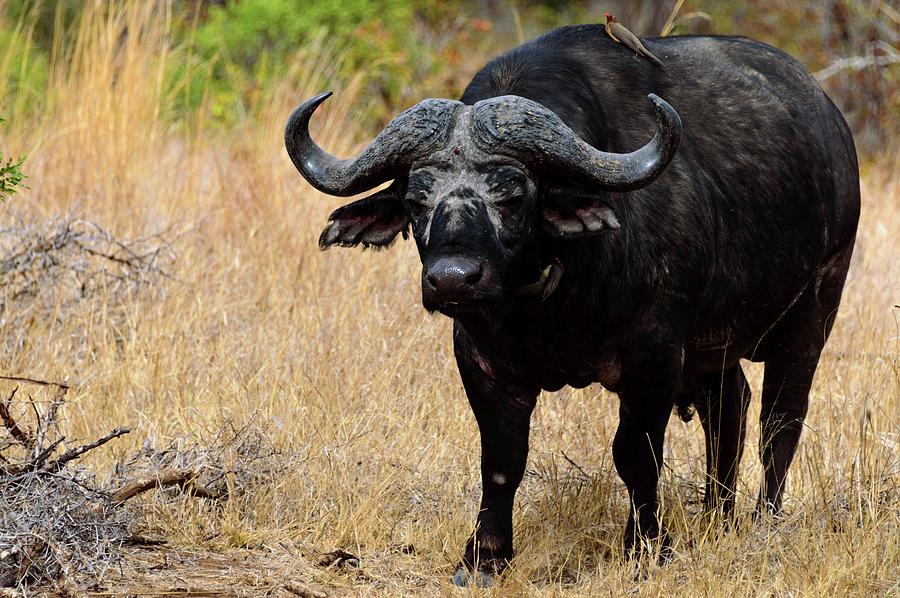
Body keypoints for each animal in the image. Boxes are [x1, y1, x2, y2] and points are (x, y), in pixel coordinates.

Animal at [282, 25, 856, 588]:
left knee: (779, 422)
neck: (546, 313)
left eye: (513, 197)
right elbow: (502, 460)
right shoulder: (479, 359)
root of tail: (831, 123)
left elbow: (636, 456)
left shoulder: (654, 355)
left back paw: (762, 522)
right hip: (715, 349)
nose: (452, 279)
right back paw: (719, 518)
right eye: (415, 201)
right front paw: (484, 558)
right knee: (729, 409)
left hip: (813, 313)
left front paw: (646, 549)